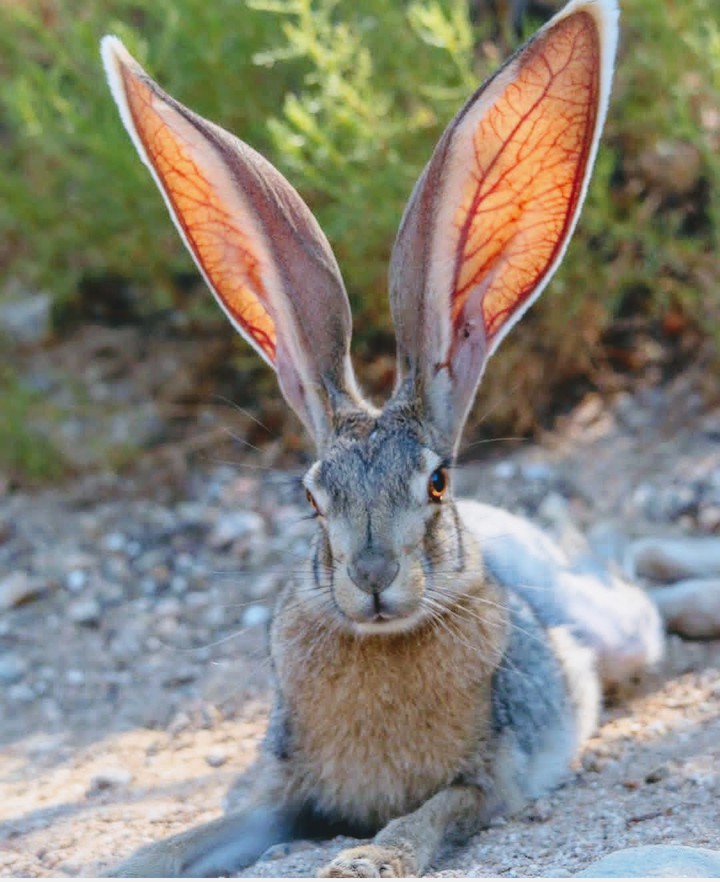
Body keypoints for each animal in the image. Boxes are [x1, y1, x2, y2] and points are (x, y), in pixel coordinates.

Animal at [100, 0, 665, 875]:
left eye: (436, 482)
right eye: (310, 497)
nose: (371, 577)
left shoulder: (484, 781)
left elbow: (424, 820)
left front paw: (364, 860)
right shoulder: (278, 795)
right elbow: (194, 837)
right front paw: (127, 861)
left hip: (611, 631)